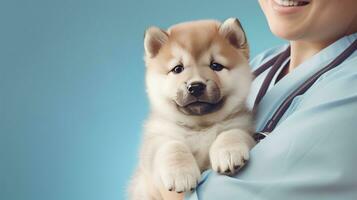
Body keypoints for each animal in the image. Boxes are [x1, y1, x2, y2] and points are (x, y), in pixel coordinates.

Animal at [129, 18, 254, 199]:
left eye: (216, 66)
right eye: (178, 69)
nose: (195, 86)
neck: (200, 127)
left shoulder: (243, 125)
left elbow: (231, 132)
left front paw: (229, 153)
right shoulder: (156, 142)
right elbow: (172, 146)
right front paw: (181, 174)